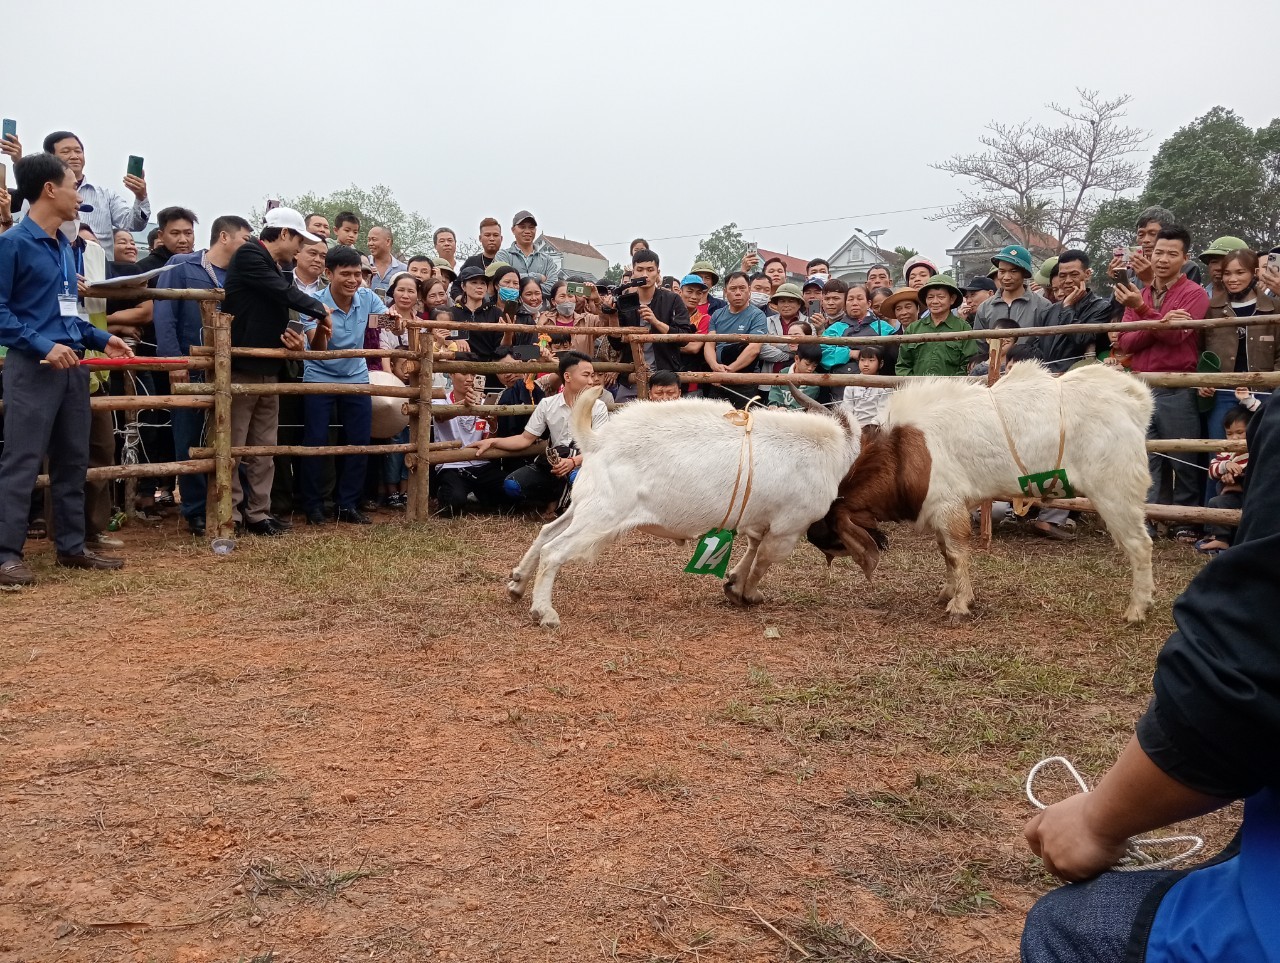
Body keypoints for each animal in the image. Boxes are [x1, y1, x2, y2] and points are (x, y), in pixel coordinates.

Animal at [506, 386, 860, 632]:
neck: (825, 448)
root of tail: (598, 441)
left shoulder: (759, 521)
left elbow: (752, 549)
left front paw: (734, 585)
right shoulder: (788, 528)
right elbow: (763, 561)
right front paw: (748, 594)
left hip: (584, 507)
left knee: (546, 532)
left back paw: (517, 584)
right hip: (602, 516)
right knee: (554, 550)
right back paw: (545, 613)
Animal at [808, 363, 1162, 624]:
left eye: (828, 533)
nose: (810, 534)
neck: (903, 453)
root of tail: (1133, 400)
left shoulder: (948, 506)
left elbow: (955, 553)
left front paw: (960, 603)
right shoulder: (943, 509)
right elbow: (945, 553)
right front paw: (948, 592)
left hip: (1116, 491)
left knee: (1140, 545)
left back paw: (1136, 609)